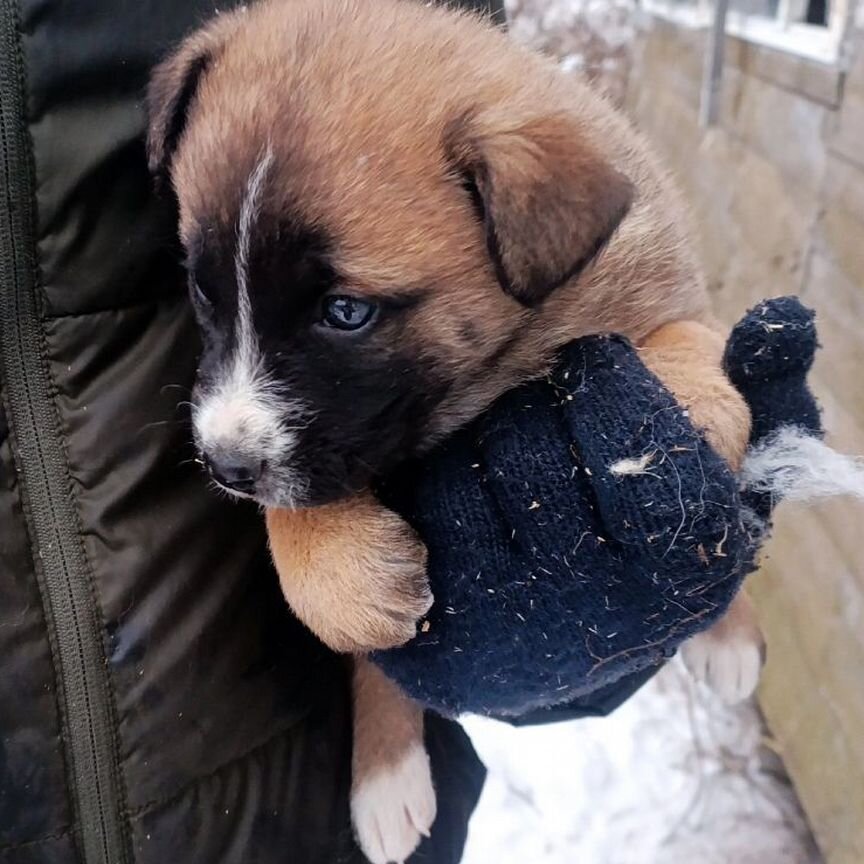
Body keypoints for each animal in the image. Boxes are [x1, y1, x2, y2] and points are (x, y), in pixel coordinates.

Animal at [148, 3, 764, 860]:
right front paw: (381, 752)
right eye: (203, 291)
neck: (498, 363)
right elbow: (347, 602)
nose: (225, 468)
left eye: (346, 312)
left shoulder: (673, 305)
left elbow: (692, 369)